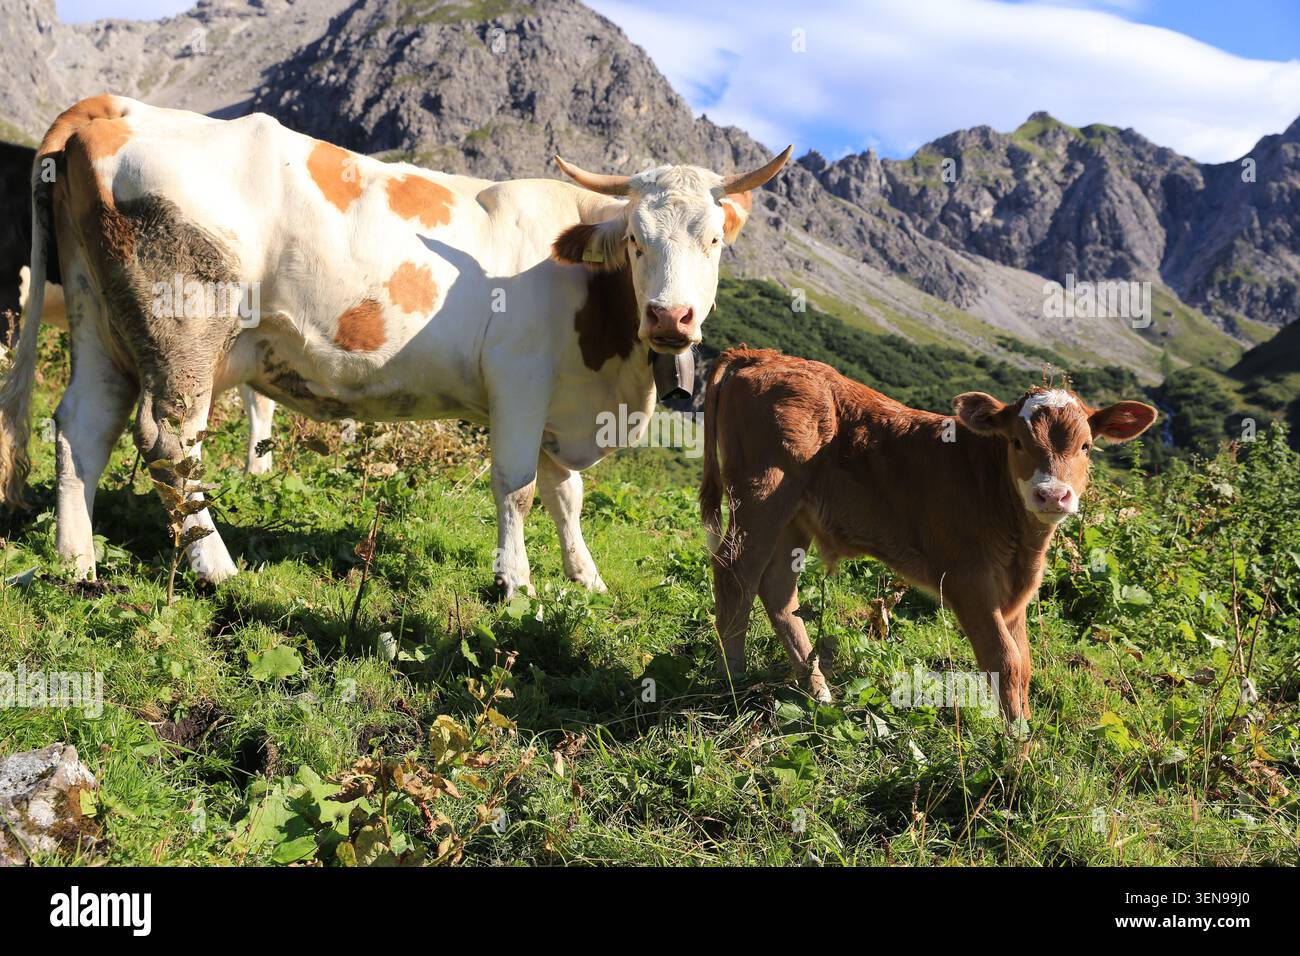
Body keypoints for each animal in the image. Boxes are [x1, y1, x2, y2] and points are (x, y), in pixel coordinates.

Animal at [699, 348, 1157, 719]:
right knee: (735, 571)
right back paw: (732, 680)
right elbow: (1004, 660)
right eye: (1017, 442)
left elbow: (1024, 662)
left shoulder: (1014, 591)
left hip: (793, 513)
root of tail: (761, 355)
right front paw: (1017, 750)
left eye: (1085, 446)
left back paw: (817, 690)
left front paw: (1026, 730)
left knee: (777, 588)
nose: (1052, 494)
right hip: (762, 491)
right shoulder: (966, 578)